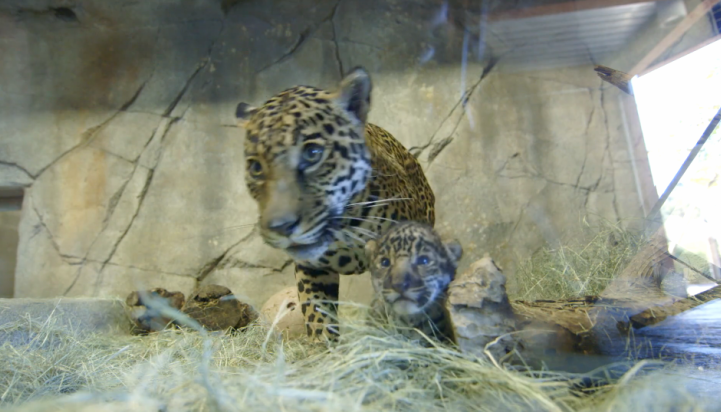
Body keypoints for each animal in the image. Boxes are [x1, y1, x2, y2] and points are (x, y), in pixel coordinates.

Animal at [234, 67, 435, 341]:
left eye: (313, 153)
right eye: (256, 167)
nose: (281, 227)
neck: (345, 226)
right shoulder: (312, 270)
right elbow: (317, 315)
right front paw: (324, 346)